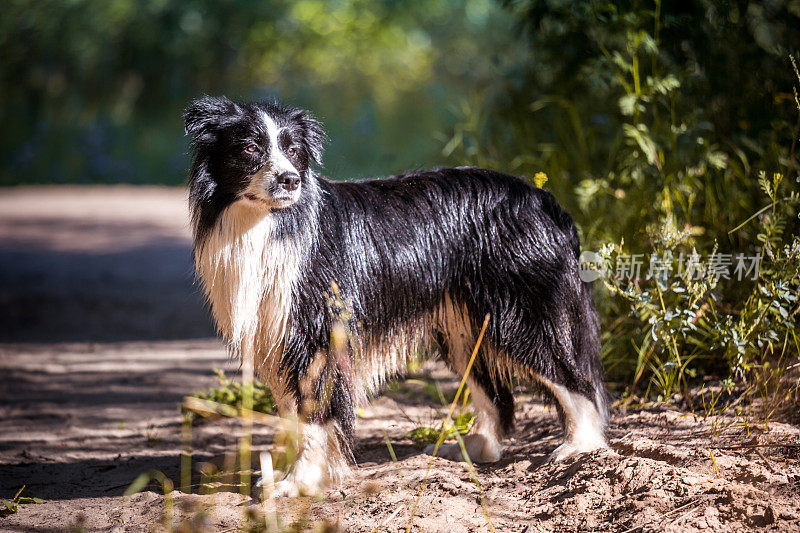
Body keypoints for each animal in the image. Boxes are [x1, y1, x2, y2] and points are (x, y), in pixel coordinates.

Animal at [183, 94, 608, 494]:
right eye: (250, 148)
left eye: (293, 151)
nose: (290, 180)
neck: (267, 222)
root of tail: (543, 199)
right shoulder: (278, 332)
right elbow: (294, 411)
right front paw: (293, 475)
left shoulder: (318, 330)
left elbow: (315, 414)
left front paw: (300, 482)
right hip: (464, 325)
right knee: (493, 390)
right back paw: (477, 447)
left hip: (522, 310)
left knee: (571, 376)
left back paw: (580, 446)